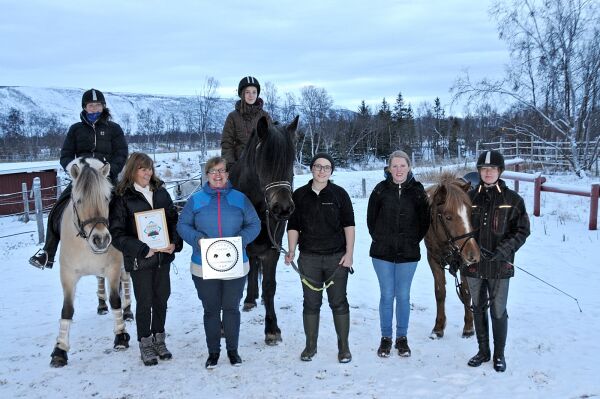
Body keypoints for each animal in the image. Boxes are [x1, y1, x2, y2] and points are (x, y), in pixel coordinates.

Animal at [50, 158, 129, 368]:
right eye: (78, 200)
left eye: (107, 198)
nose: (101, 239)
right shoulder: (67, 275)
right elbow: (67, 309)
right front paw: (60, 350)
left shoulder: (113, 268)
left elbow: (116, 299)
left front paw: (121, 336)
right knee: (99, 281)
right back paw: (101, 306)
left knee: (126, 282)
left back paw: (128, 311)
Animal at [229, 114, 298, 346]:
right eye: (264, 161)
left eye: (291, 160)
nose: (283, 208)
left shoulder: (272, 248)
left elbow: (269, 286)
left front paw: (272, 329)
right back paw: (249, 299)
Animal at [424, 173, 480, 340]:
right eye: (448, 217)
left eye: (470, 213)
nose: (473, 254)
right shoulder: (433, 260)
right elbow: (440, 292)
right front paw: (438, 328)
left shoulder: (464, 264)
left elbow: (466, 293)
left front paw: (468, 327)